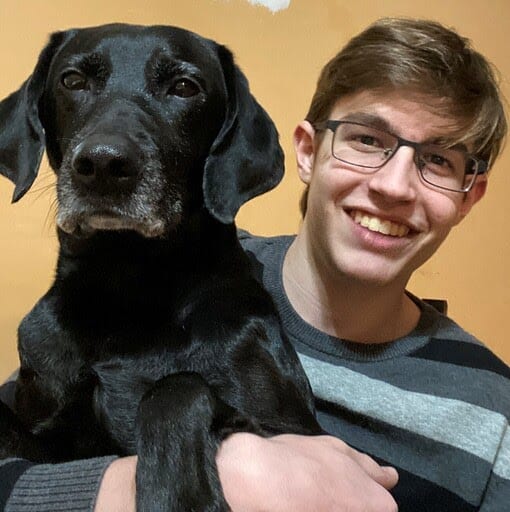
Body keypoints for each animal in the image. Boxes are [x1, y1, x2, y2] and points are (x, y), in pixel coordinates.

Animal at [0, 23, 320, 508]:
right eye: (72, 80)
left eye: (185, 87)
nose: (103, 164)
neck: (125, 285)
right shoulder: (45, 435)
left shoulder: (298, 434)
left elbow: (175, 387)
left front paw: (179, 496)